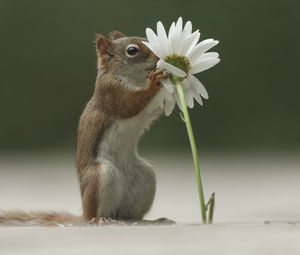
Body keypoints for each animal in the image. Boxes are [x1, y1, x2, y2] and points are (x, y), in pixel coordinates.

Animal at [0, 31, 173, 225]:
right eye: (132, 50)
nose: (160, 58)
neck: (133, 79)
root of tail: (83, 214)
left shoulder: (146, 110)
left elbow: (155, 111)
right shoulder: (111, 94)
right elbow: (130, 105)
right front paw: (155, 82)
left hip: (145, 177)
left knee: (130, 215)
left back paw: (154, 220)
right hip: (102, 176)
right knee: (95, 213)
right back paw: (102, 219)